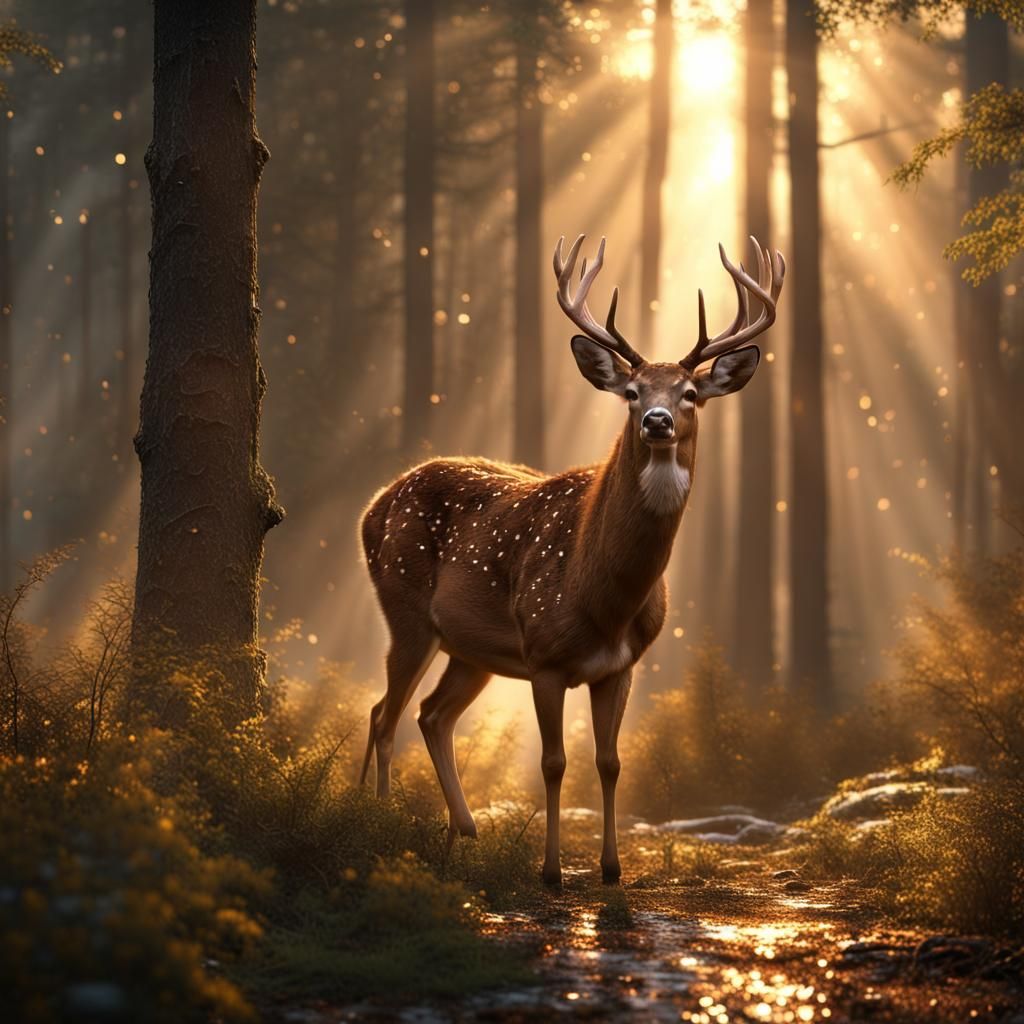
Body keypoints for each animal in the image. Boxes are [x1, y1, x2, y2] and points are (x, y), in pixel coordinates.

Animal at [360, 234, 785, 885]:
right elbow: (554, 761)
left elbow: (609, 762)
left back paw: (465, 832)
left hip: (471, 649)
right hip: (404, 609)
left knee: (431, 715)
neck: (604, 600)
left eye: (690, 394)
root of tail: (372, 508)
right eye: (632, 393)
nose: (656, 420)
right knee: (384, 714)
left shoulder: (621, 665)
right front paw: (553, 870)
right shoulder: (545, 656)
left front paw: (611, 870)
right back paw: (380, 823)